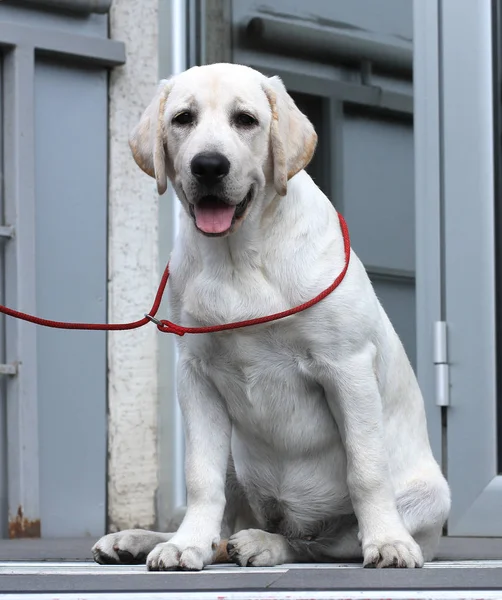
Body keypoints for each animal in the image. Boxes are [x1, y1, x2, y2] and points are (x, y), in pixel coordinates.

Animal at [92, 64, 450, 572]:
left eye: (246, 120)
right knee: (229, 527)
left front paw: (388, 541)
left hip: (430, 497)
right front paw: (185, 544)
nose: (208, 165)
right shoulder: (196, 377)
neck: (237, 258)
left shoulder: (348, 368)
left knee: (319, 544)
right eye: (183, 118)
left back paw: (267, 543)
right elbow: (200, 478)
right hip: (235, 457)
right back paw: (148, 539)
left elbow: (366, 469)